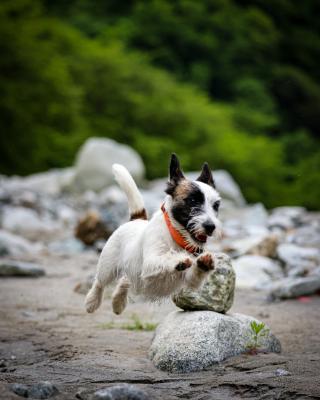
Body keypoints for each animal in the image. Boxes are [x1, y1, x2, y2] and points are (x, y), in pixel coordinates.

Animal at [84, 154, 221, 316]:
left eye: (216, 205)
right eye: (193, 200)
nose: (211, 227)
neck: (176, 236)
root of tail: (137, 219)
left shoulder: (189, 279)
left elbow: (194, 275)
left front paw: (205, 262)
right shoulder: (150, 263)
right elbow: (165, 258)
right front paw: (178, 260)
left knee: (124, 281)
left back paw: (118, 303)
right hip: (107, 267)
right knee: (99, 282)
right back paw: (92, 301)